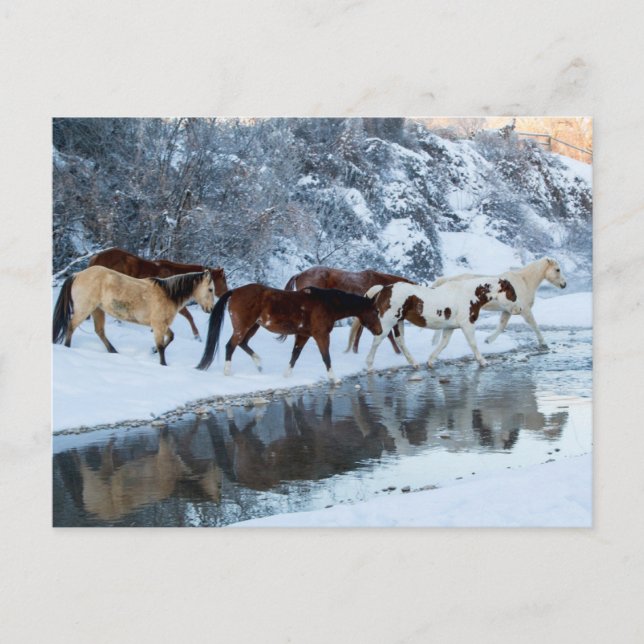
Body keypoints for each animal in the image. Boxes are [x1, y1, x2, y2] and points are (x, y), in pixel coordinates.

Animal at [53, 266, 215, 365]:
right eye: (211, 289)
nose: (211, 309)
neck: (168, 294)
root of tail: (77, 274)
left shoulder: (161, 325)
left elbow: (170, 337)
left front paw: (152, 350)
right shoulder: (158, 325)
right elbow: (162, 347)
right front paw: (163, 363)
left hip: (97, 310)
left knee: (99, 331)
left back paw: (113, 351)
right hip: (84, 309)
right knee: (71, 326)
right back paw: (68, 348)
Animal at [196, 284, 383, 383]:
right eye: (375, 311)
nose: (380, 331)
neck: (327, 304)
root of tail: (234, 291)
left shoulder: (304, 335)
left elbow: (295, 354)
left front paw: (286, 375)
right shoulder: (321, 335)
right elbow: (326, 357)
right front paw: (334, 378)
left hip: (253, 327)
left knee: (242, 344)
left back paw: (259, 364)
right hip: (243, 327)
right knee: (231, 346)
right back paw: (228, 372)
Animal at [347, 277, 522, 371]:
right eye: (512, 293)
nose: (519, 309)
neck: (469, 295)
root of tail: (384, 289)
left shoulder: (450, 327)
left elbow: (443, 344)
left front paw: (430, 361)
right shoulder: (467, 324)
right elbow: (473, 343)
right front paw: (483, 362)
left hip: (399, 322)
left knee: (400, 341)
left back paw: (415, 364)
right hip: (388, 321)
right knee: (378, 340)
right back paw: (369, 366)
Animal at [431, 257, 567, 347]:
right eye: (557, 269)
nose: (564, 284)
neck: (524, 282)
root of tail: (445, 281)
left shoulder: (508, 310)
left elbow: (501, 326)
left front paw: (488, 340)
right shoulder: (525, 310)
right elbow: (534, 325)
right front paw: (543, 343)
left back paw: (434, 342)